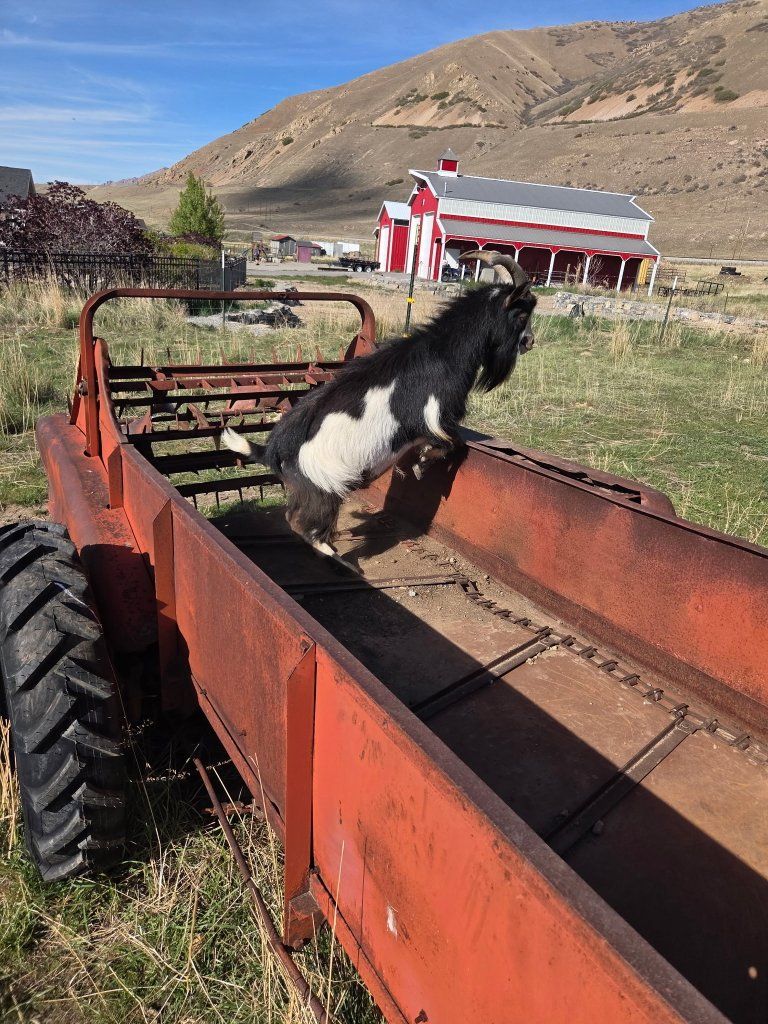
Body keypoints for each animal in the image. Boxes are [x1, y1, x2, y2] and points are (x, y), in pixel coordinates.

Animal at [221, 250, 536, 557]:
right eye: (521, 315)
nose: (530, 342)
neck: (445, 352)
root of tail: (272, 449)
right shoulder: (437, 415)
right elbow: (452, 445)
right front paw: (422, 462)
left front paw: (420, 462)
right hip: (323, 487)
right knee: (305, 524)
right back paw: (337, 556)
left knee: (294, 518)